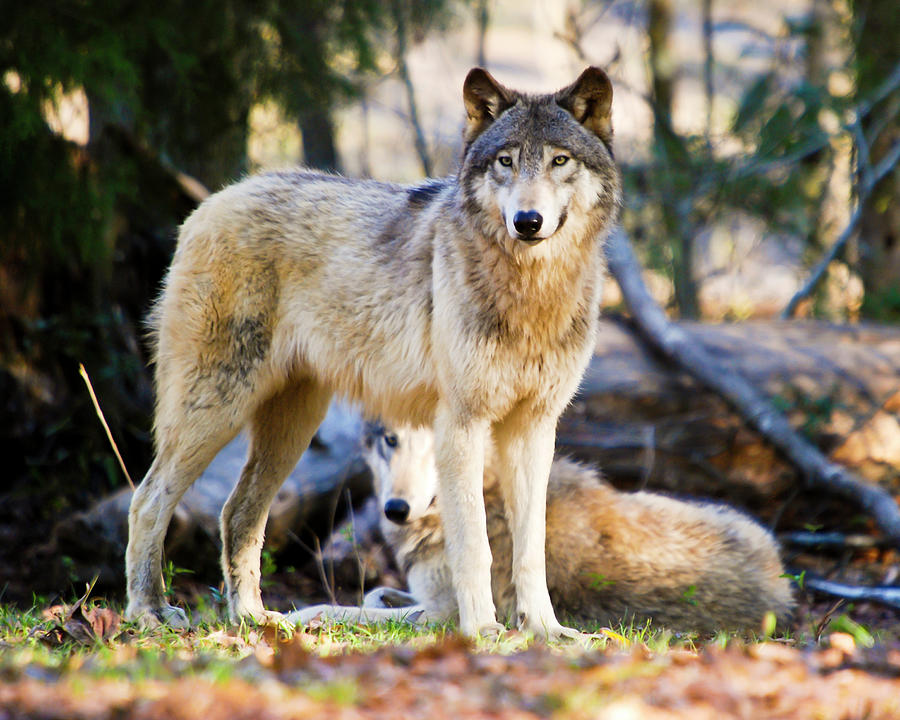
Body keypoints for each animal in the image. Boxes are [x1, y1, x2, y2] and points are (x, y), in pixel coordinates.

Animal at [125, 67, 620, 640]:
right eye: (506, 161)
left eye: (560, 160)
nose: (528, 220)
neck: (532, 292)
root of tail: (212, 202)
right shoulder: (462, 422)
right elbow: (474, 544)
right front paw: (482, 631)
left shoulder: (535, 427)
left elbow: (530, 547)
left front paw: (546, 630)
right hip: (215, 410)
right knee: (147, 499)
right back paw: (148, 613)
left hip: (292, 426)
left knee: (237, 513)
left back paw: (254, 620)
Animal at [292, 424, 792, 632]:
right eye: (390, 440)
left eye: (438, 445)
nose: (396, 508)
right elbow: (377, 594)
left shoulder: (445, 615)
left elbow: (340, 608)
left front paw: (291, 617)